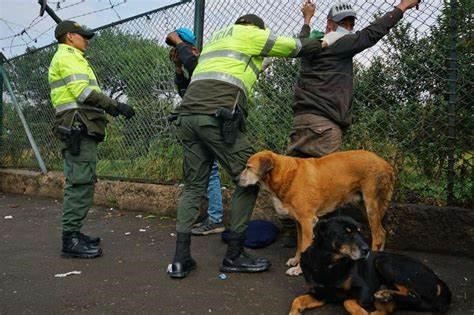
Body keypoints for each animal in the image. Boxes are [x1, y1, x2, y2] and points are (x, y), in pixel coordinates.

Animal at [239, 151, 394, 276]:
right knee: (383, 232)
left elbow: (305, 245)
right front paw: (296, 261)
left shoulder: (308, 221)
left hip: (371, 206)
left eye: (248, 167)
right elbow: (300, 244)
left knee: (378, 236)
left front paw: (299, 270)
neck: (285, 175)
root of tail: (386, 164)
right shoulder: (299, 223)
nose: (235, 180)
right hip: (363, 205)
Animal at [288, 217, 452, 315]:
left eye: (360, 232)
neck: (329, 264)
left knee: (415, 297)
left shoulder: (364, 289)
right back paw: (385, 296)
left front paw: (361, 311)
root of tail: (436, 278)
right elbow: (297, 300)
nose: (367, 249)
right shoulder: (321, 294)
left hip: (384, 262)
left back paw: (385, 294)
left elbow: (348, 301)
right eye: (345, 233)